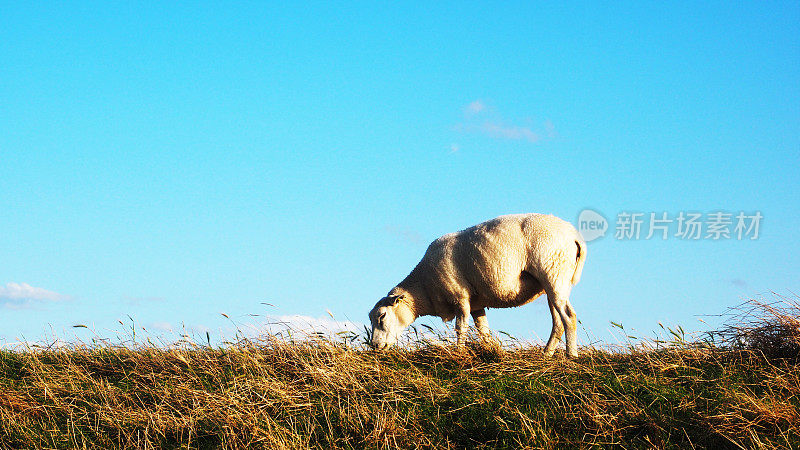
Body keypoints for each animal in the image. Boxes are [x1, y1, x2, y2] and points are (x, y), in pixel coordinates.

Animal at [368, 214, 588, 358]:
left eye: (382, 316)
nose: (375, 346)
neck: (424, 287)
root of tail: (574, 236)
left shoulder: (460, 296)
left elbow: (460, 328)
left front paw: (459, 352)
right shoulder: (476, 305)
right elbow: (484, 331)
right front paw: (493, 351)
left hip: (553, 273)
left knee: (569, 317)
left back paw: (571, 355)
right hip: (554, 281)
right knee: (558, 321)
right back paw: (546, 354)